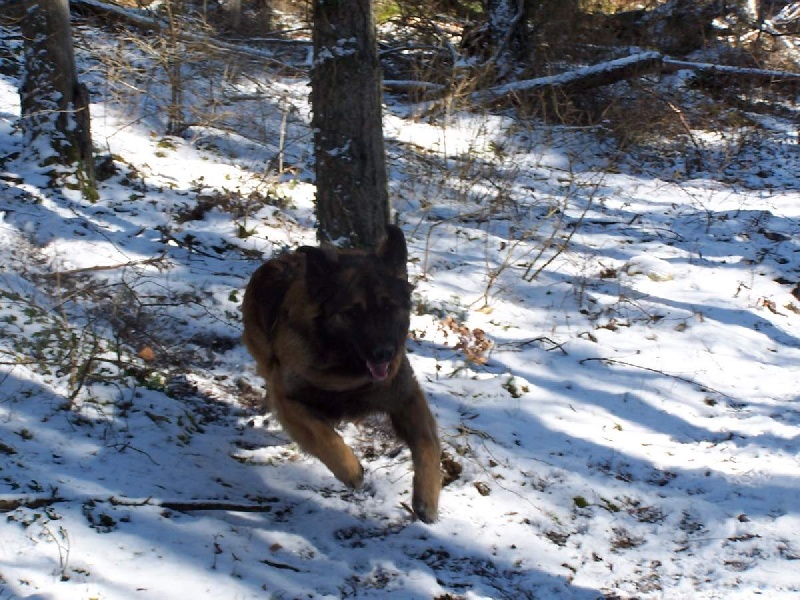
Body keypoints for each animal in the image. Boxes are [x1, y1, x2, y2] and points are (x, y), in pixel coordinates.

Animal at [242, 227, 444, 524]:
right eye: (353, 313)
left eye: (388, 308)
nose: (384, 354)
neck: (347, 372)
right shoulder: (289, 398)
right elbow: (321, 433)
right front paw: (349, 469)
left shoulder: (406, 397)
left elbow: (427, 444)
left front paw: (427, 500)